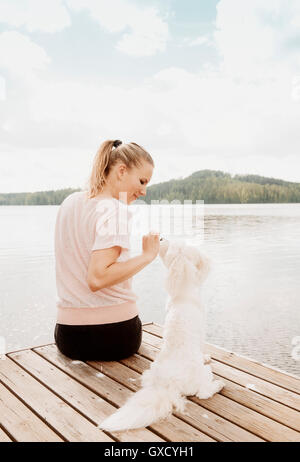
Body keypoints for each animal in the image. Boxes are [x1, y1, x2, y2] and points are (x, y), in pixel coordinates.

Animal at [99, 240, 225, 432]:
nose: (161, 239)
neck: (183, 291)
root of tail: (168, 385)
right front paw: (206, 357)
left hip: (149, 373)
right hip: (203, 374)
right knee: (203, 393)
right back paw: (218, 385)